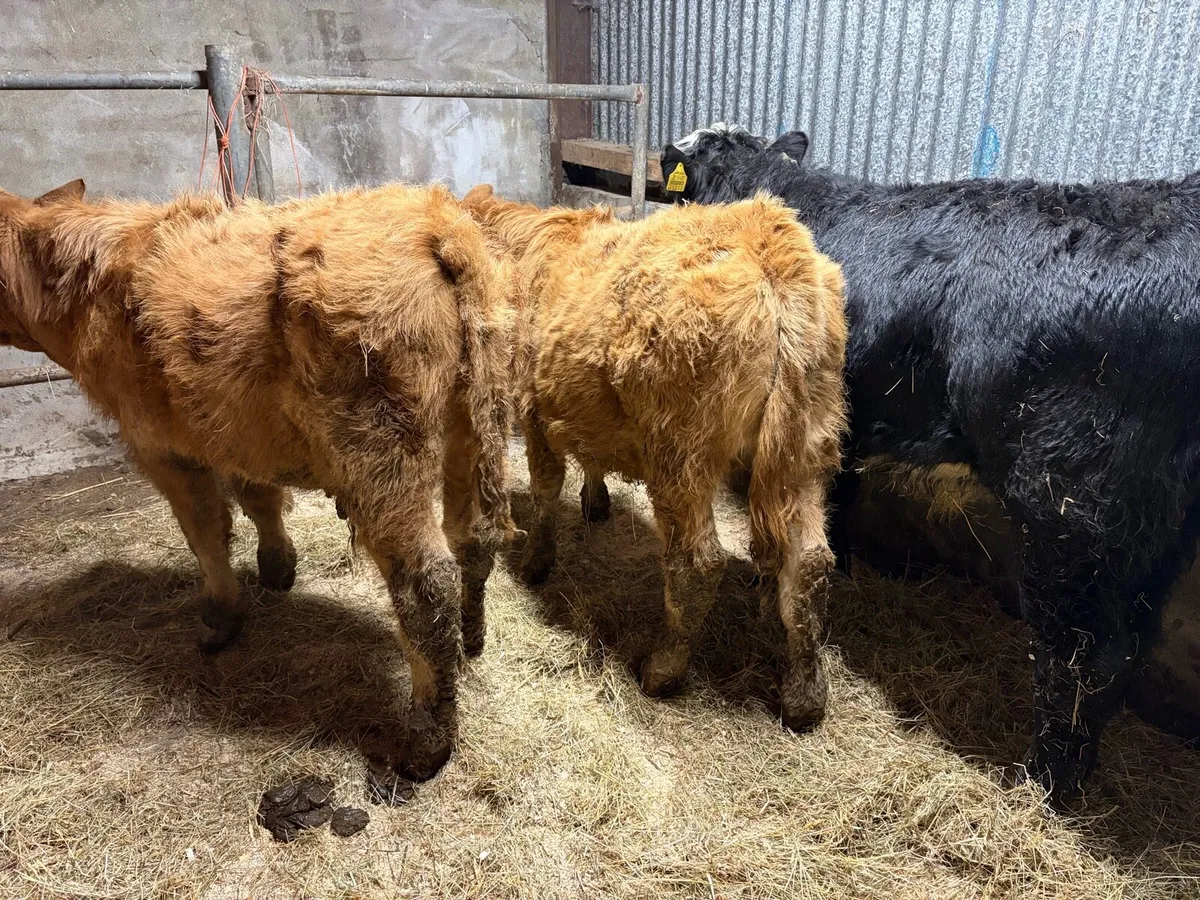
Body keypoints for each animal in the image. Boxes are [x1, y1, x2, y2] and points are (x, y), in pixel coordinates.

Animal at [0, 180, 519, 782]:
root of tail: (437, 222)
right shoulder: (236, 438)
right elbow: (260, 498)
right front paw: (277, 567)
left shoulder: (162, 449)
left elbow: (205, 532)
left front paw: (221, 615)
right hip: (477, 421)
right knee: (474, 540)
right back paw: (472, 639)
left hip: (383, 452)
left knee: (425, 583)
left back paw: (426, 742)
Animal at [461, 184, 847, 730]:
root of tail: (771, 241)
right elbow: (590, 457)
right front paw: (596, 501)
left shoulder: (534, 409)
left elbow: (544, 489)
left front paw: (537, 560)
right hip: (808, 447)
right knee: (810, 563)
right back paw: (805, 697)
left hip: (680, 454)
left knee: (698, 563)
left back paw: (663, 668)